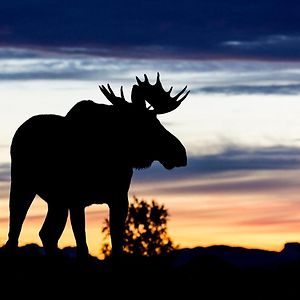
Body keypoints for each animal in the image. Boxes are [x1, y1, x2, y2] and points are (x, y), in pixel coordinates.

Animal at [4, 72, 189, 258]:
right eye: (152, 125)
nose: (181, 153)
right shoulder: (76, 200)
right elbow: (83, 248)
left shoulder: (119, 198)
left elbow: (117, 247)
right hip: (23, 185)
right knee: (14, 233)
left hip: (57, 201)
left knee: (47, 234)